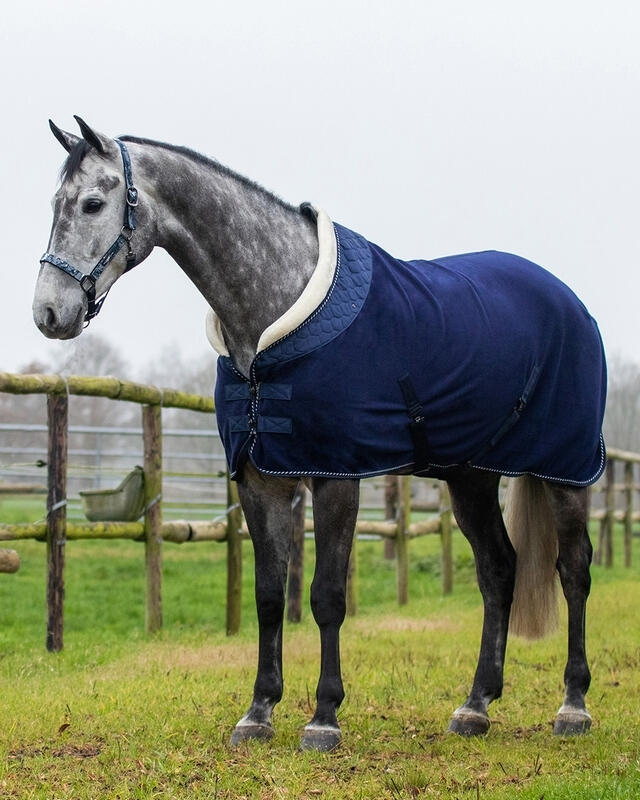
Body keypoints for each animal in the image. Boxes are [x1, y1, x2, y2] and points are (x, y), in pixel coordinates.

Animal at [33, 117, 606, 751]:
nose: (48, 314)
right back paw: (475, 705)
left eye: (92, 203)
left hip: (566, 470)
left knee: (573, 570)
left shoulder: (337, 477)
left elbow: (327, 596)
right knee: (499, 570)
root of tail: (568, 302)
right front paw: (258, 713)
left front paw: (324, 717)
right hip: (470, 478)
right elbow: (268, 596)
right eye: (55, 204)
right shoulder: (261, 481)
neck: (272, 315)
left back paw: (573, 706)